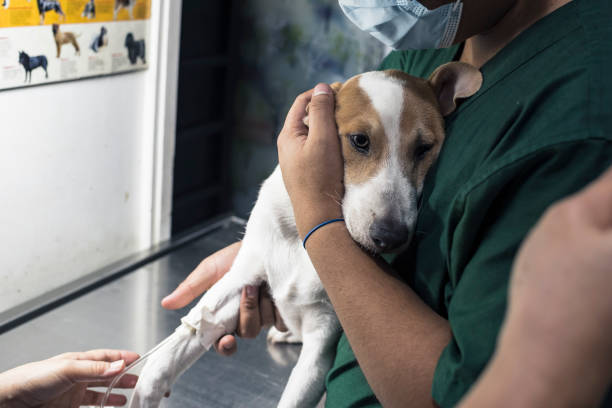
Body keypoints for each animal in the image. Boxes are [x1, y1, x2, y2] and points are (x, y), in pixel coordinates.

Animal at [125, 62, 482, 408]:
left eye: (424, 148)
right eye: (360, 140)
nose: (390, 236)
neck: (300, 236)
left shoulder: (322, 342)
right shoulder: (244, 276)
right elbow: (177, 345)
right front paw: (143, 391)